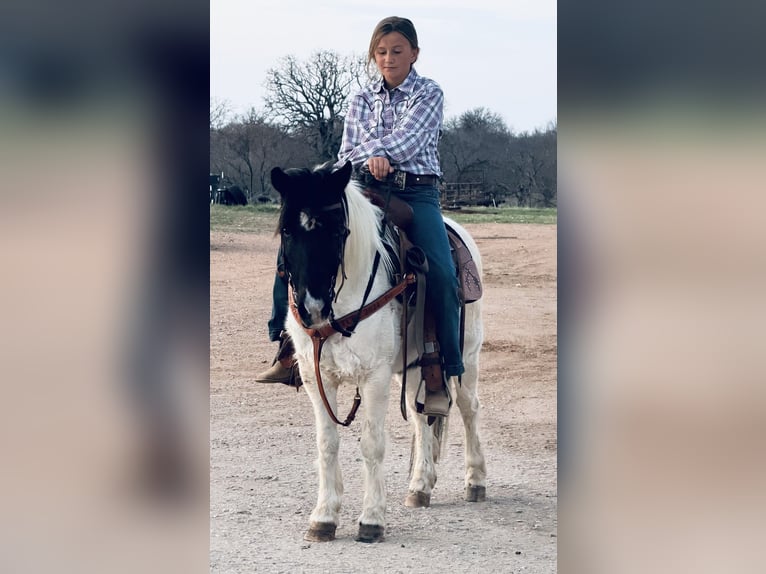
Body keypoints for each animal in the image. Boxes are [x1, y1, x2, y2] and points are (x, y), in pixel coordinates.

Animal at [270, 161, 486, 543]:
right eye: (287, 231)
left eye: (338, 232)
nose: (311, 308)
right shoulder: (316, 377)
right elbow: (327, 444)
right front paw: (324, 517)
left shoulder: (375, 376)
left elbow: (372, 444)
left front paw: (371, 520)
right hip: (414, 366)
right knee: (421, 416)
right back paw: (420, 486)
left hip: (467, 356)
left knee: (467, 408)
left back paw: (475, 481)